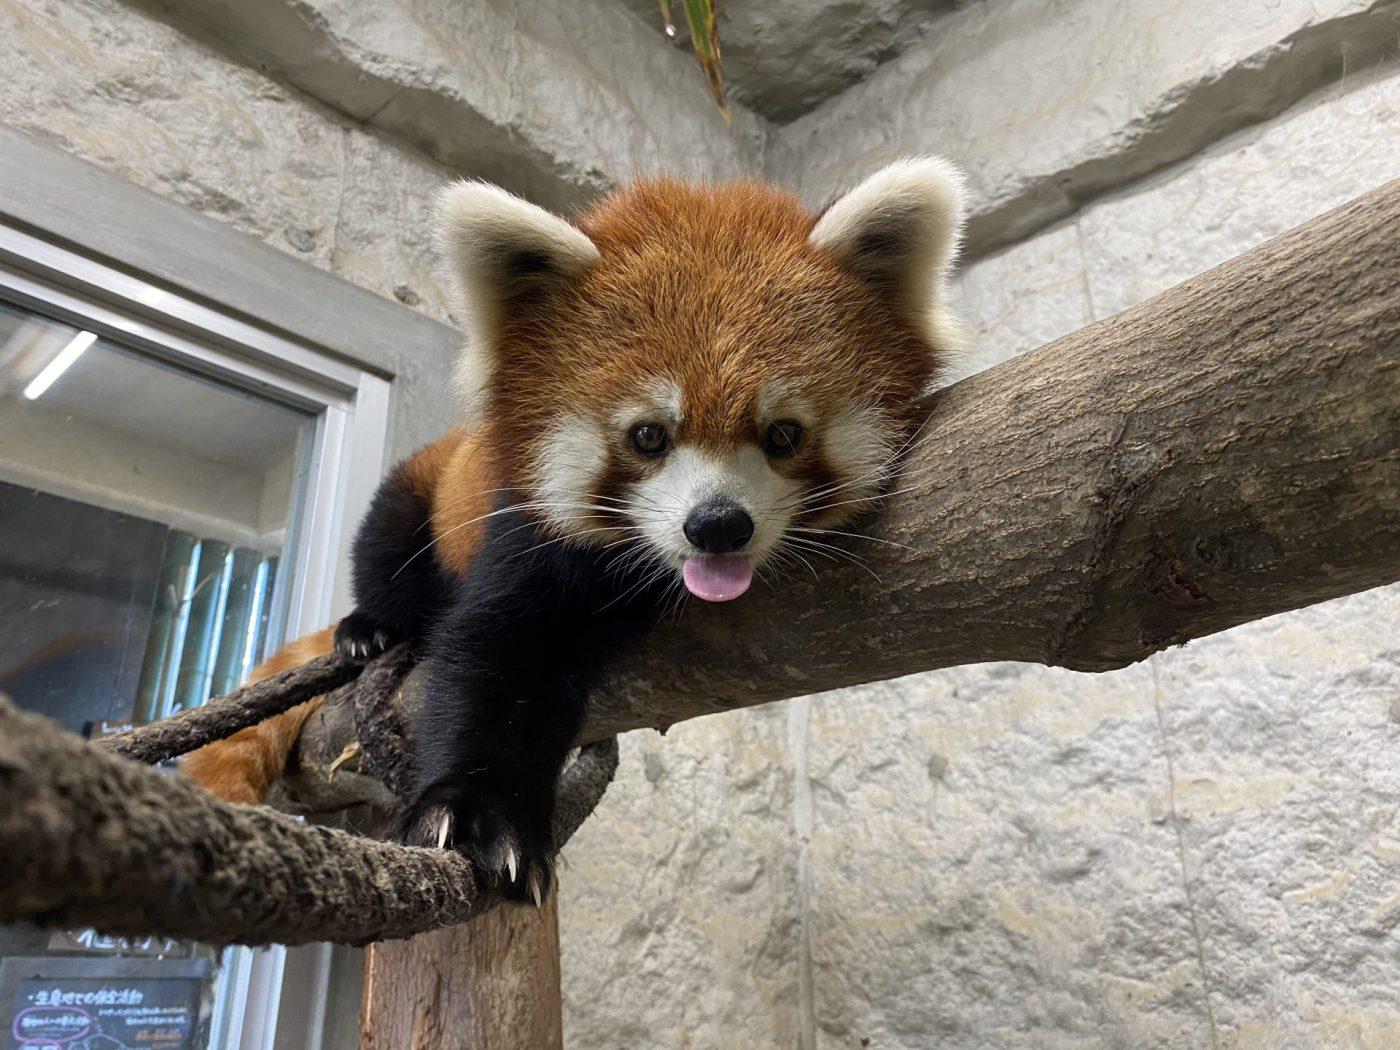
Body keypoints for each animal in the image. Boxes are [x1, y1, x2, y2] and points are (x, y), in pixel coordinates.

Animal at [186, 160, 968, 907]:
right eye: (648, 436)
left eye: (782, 435)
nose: (717, 526)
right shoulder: (521, 530)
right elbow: (492, 654)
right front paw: (470, 812)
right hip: (422, 493)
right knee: (385, 553)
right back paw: (368, 628)